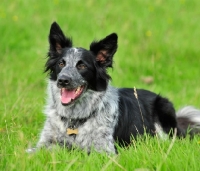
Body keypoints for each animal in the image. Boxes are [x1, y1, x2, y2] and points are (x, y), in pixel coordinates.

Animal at [29, 21, 200, 154]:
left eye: (82, 66)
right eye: (61, 63)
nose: (63, 80)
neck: (75, 119)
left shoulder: (104, 150)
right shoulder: (44, 143)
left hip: (164, 109)